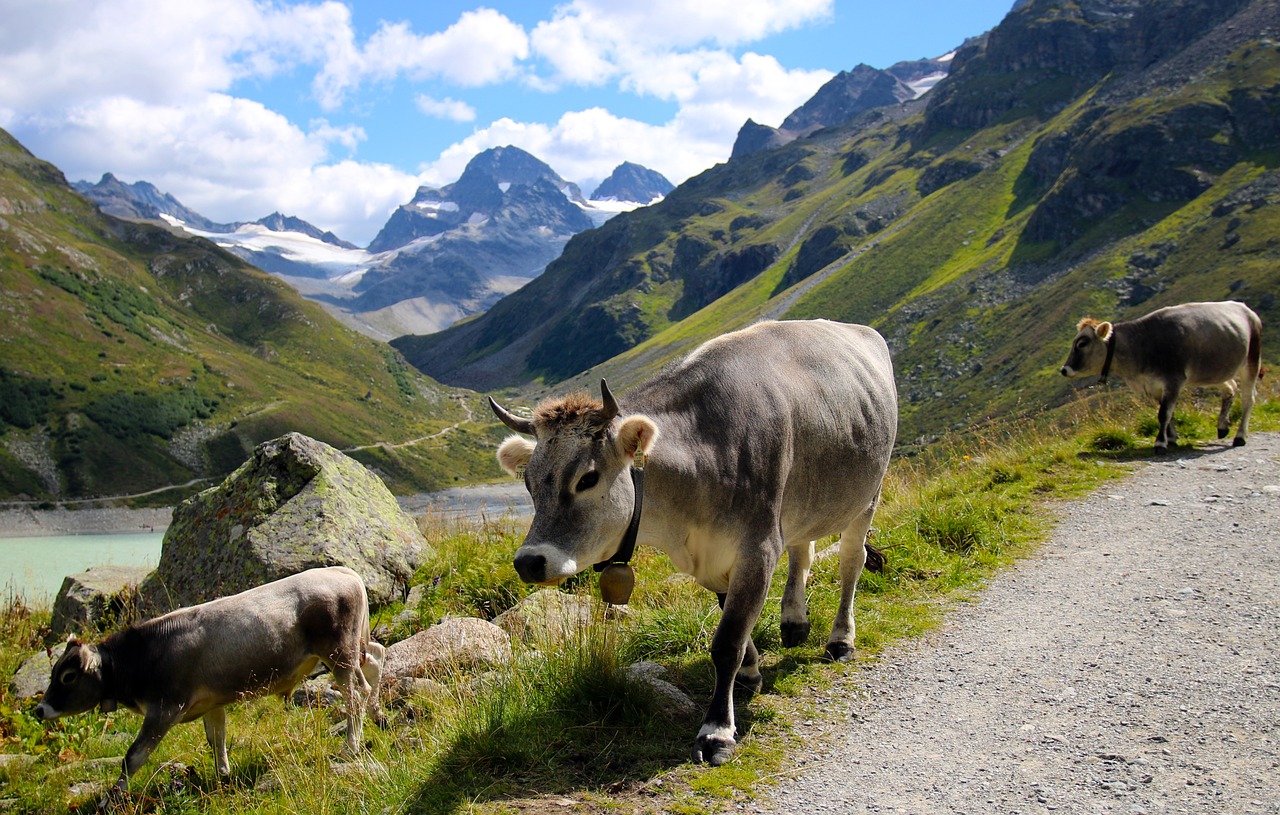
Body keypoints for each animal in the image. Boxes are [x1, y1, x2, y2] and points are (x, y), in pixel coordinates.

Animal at [33, 565, 384, 793]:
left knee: (356, 693)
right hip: (354, 647)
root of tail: (342, 571)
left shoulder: (164, 708)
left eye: (67, 676)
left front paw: (113, 798)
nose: (39, 710)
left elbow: (133, 756)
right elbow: (217, 738)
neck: (146, 654)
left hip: (338, 652)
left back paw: (350, 746)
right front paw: (223, 776)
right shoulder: (211, 702)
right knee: (376, 659)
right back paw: (378, 716)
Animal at [488, 317, 901, 762]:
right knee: (802, 551)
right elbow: (732, 623)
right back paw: (794, 622)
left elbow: (727, 642)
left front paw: (717, 731)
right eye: (528, 484)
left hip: (867, 496)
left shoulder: (757, 548)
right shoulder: (714, 556)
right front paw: (750, 673)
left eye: (587, 478)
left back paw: (841, 640)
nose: (529, 561)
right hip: (801, 505)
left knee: (850, 563)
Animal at [1059, 299, 1259, 450]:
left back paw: (1240, 436)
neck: (1140, 345)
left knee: (1248, 399)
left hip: (1251, 361)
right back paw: (1222, 426)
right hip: (1214, 372)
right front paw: (1172, 438)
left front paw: (1160, 443)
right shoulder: (1154, 385)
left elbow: (1164, 413)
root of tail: (1245, 308)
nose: (1064, 369)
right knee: (1230, 389)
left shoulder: (1174, 380)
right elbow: (1167, 412)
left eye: (1082, 343)